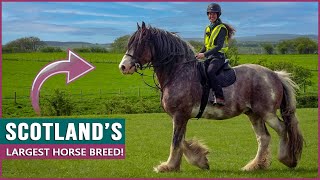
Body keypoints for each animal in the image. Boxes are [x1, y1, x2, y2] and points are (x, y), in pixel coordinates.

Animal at [119, 22, 304, 173]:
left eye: (140, 43)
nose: (123, 67)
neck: (178, 72)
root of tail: (275, 75)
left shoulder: (179, 115)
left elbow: (176, 141)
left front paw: (168, 166)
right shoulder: (180, 117)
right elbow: (181, 140)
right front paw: (199, 161)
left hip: (267, 112)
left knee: (282, 129)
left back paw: (287, 159)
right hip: (254, 114)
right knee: (263, 137)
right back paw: (254, 166)